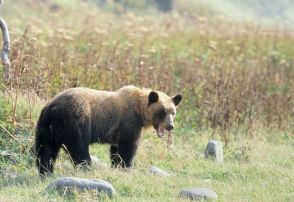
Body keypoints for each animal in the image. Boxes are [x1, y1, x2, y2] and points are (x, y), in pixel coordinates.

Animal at [34, 86, 181, 176]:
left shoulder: (117, 132)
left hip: (46, 127)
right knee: (78, 147)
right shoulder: (129, 123)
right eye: (163, 112)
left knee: (46, 150)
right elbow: (129, 147)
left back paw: (46, 172)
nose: (170, 126)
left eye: (173, 112)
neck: (140, 111)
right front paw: (126, 167)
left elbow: (116, 151)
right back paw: (87, 169)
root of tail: (52, 108)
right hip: (75, 119)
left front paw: (116, 166)